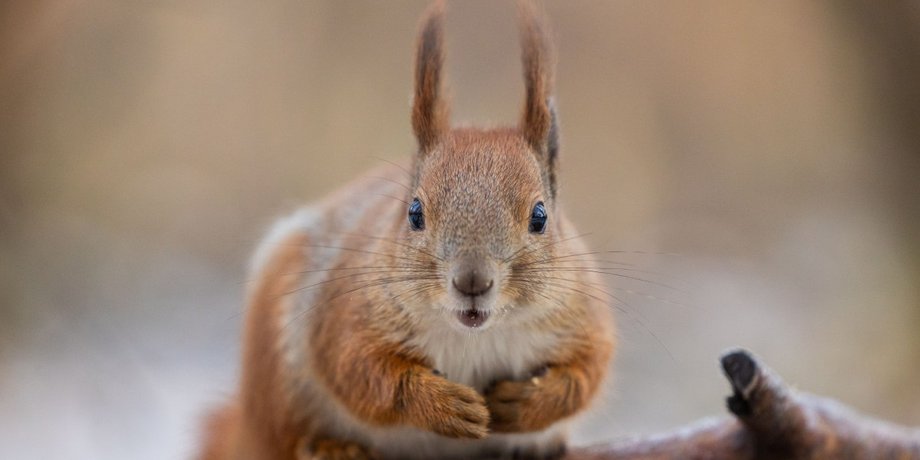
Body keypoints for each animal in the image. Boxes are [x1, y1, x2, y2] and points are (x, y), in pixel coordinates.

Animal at [197, 1, 615, 459]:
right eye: (414, 212)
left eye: (539, 217)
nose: (472, 281)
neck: (474, 333)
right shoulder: (345, 311)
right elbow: (361, 371)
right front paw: (442, 404)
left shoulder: (584, 315)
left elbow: (585, 374)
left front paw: (524, 403)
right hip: (275, 377)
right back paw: (329, 446)